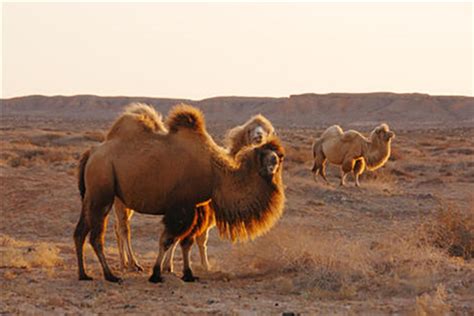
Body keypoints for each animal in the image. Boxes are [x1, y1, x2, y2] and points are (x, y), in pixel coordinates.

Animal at [72, 104, 284, 284]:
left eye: (279, 158)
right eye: (267, 156)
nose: (273, 165)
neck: (216, 172)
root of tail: (91, 153)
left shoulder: (195, 207)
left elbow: (186, 241)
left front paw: (188, 274)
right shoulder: (182, 206)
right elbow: (168, 240)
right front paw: (157, 274)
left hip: (92, 195)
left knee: (81, 231)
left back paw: (84, 274)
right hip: (103, 189)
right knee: (98, 236)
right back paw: (111, 275)